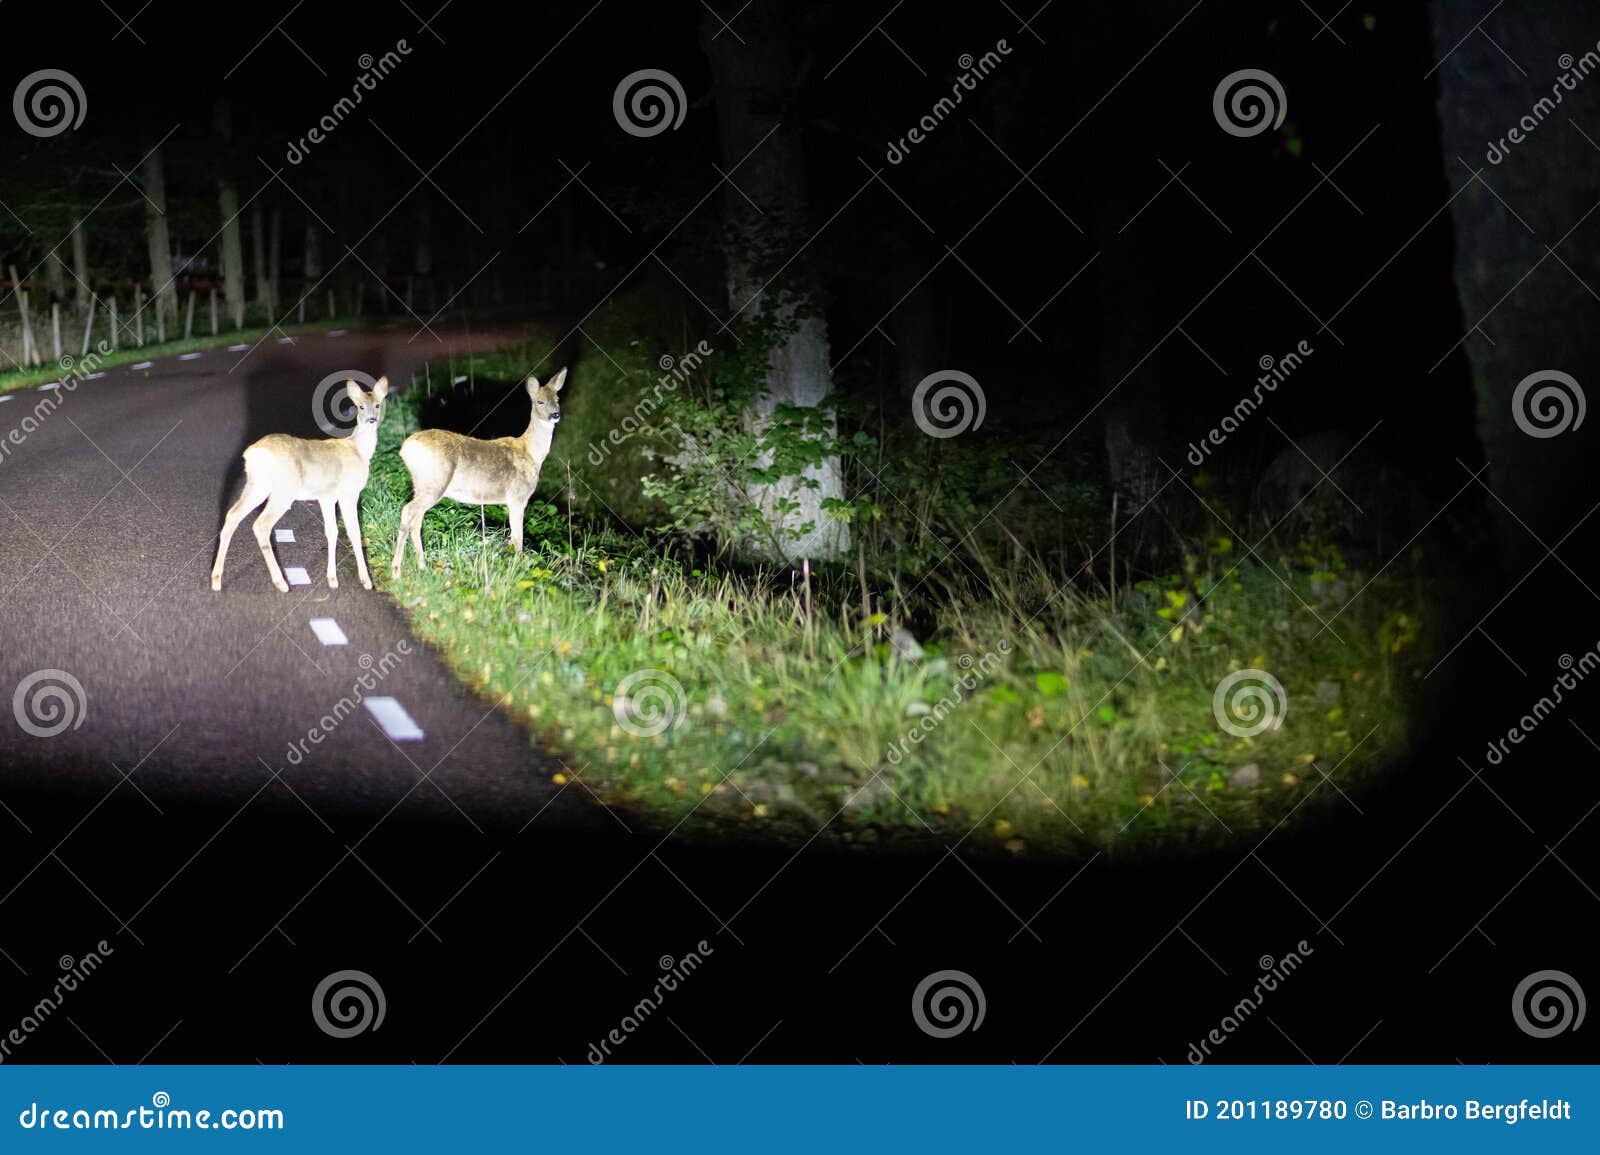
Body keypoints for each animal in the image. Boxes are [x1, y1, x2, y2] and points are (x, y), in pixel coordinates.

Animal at [212, 377, 390, 595]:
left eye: (378, 404)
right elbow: (354, 532)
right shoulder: (349, 492)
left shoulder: (327, 497)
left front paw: (332, 580)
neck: (359, 450)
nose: (372, 420)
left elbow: (332, 531)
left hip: (257, 485)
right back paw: (281, 583)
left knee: (232, 514)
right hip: (283, 490)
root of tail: (253, 453)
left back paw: (216, 580)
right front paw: (366, 581)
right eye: (361, 406)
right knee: (261, 524)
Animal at [390, 366, 566, 572]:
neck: (531, 452)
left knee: (416, 519)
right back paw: (397, 569)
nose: (555, 415)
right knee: (408, 511)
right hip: (434, 483)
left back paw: (422, 565)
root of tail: (406, 448)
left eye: (557, 399)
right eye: (540, 401)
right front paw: (518, 567)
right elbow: (517, 538)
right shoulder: (517, 496)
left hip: (423, 485)